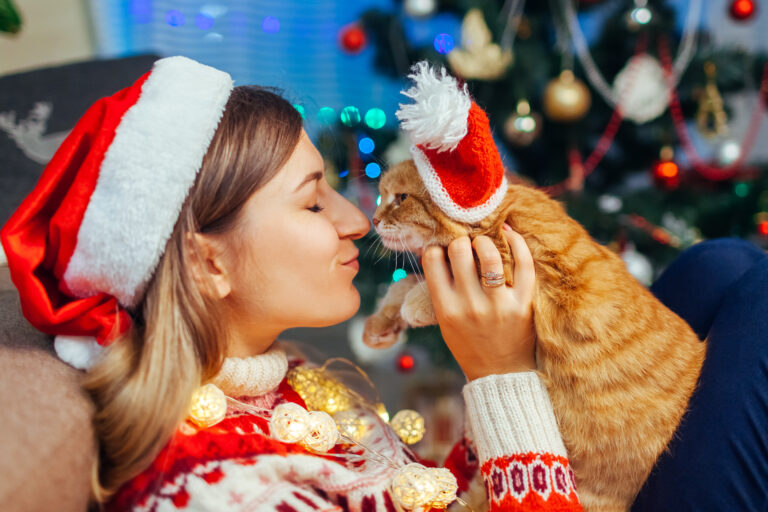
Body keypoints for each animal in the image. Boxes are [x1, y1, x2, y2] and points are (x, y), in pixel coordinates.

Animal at [366, 160, 708, 512]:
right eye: (380, 197)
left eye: (401, 197)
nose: (374, 220)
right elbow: (406, 283)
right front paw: (381, 322)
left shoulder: (532, 277)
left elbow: (428, 287)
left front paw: (414, 305)